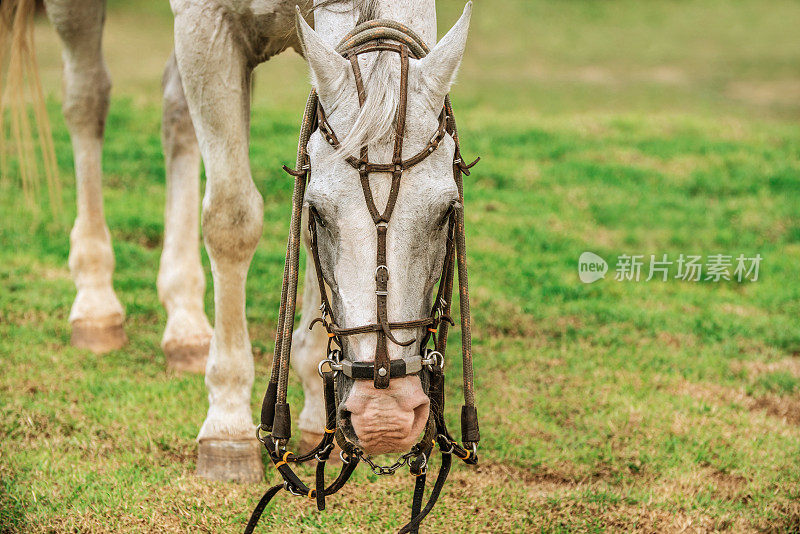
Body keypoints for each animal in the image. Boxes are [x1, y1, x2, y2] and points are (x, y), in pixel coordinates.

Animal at [1, 0, 468, 486]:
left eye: (446, 211)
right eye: (318, 211)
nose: (384, 416)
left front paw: (314, 401)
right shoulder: (207, 25)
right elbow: (231, 220)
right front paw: (227, 422)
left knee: (175, 111)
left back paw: (185, 323)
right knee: (86, 98)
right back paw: (95, 301)